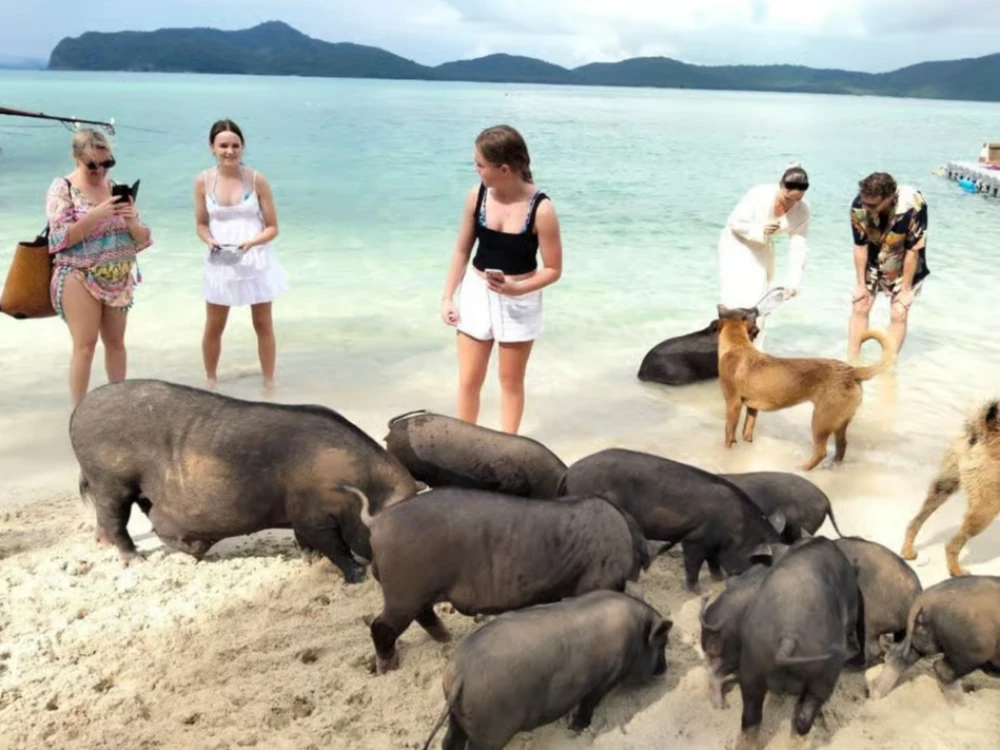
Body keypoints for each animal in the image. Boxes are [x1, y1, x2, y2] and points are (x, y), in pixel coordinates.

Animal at [69, 379, 418, 583]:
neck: (358, 485)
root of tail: (76, 413)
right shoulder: (314, 515)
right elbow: (334, 547)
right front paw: (356, 576)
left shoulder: (299, 516)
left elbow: (306, 541)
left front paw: (310, 562)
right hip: (110, 480)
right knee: (116, 520)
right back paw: (136, 560)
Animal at [347, 485, 667, 674]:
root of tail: (378, 521)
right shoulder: (594, 583)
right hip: (404, 591)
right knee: (382, 625)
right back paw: (387, 667)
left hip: (414, 592)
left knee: (422, 616)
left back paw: (447, 639)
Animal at [420, 590, 672, 750]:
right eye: (662, 643)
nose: (665, 670)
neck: (635, 637)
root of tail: (461, 673)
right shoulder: (604, 681)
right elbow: (589, 704)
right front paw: (578, 728)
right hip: (490, 731)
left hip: (458, 715)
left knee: (448, 741)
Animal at [558, 448, 785, 591]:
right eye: (757, 561)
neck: (738, 529)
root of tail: (570, 471)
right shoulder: (695, 538)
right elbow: (694, 562)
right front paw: (697, 591)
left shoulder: (714, 543)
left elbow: (713, 561)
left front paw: (717, 579)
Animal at [867, 575, 1000, 701]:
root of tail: (924, 598)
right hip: (971, 654)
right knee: (943, 669)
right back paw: (961, 705)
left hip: (921, 641)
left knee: (897, 658)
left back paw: (875, 693)